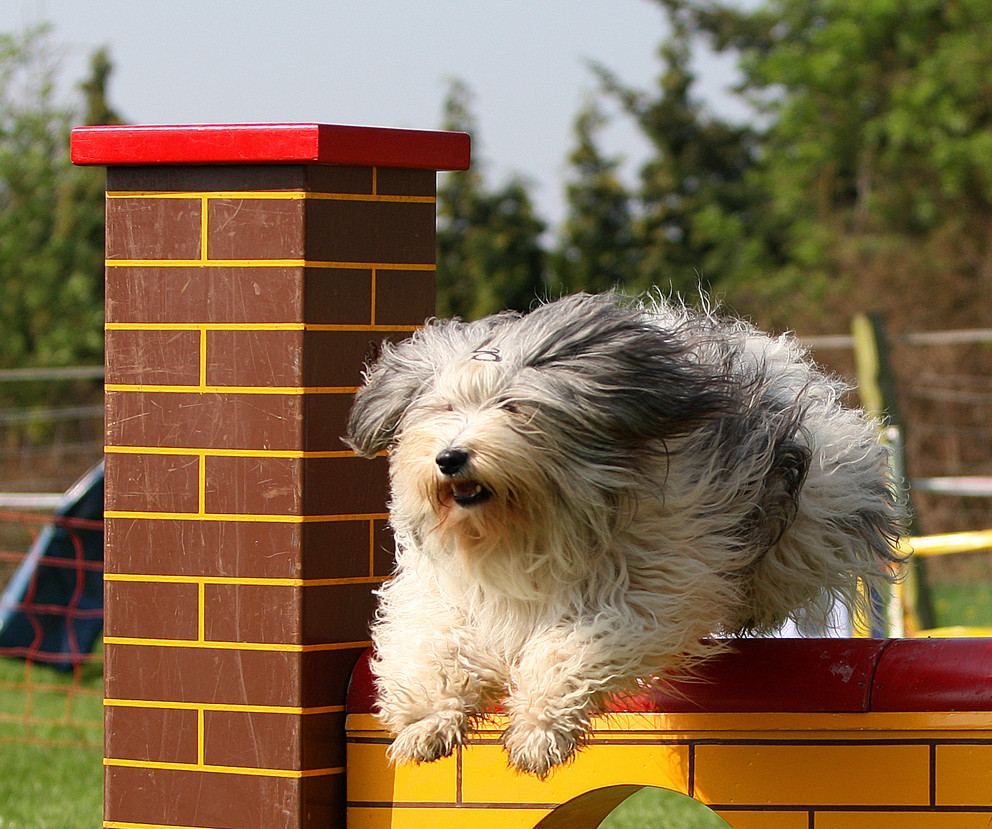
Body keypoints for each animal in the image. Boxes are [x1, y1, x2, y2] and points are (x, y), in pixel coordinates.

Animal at [344, 292, 904, 776]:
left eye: (512, 406)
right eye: (443, 409)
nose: (450, 458)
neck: (526, 528)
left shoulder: (650, 583)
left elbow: (569, 646)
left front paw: (539, 730)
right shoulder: (446, 591)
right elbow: (433, 640)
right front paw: (425, 723)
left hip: (816, 515)